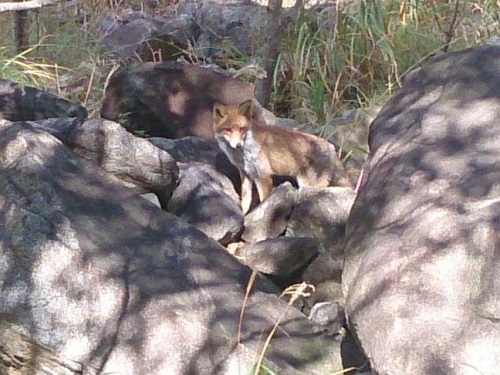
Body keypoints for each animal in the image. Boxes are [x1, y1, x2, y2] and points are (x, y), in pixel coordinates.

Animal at [212, 100, 352, 214]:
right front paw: (244, 217)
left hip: (308, 184)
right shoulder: (245, 173)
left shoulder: (263, 175)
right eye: (228, 129)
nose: (238, 145)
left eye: (242, 129)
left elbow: (264, 201)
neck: (244, 153)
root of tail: (331, 147)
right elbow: (245, 201)